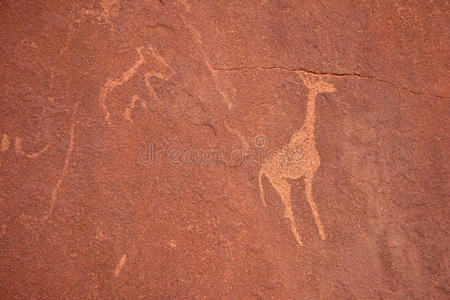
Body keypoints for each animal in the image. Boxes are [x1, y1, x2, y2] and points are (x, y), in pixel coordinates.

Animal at [258, 72, 336, 246]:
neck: (308, 135)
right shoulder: (309, 172)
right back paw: (300, 241)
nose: (334, 88)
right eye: (321, 83)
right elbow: (310, 198)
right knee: (288, 207)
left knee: (286, 209)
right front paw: (322, 234)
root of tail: (263, 168)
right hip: (282, 183)